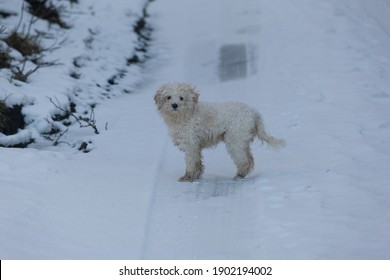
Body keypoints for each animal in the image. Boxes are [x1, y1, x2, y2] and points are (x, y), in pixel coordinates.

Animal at [154, 82, 284, 182]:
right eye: (168, 97)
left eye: (181, 98)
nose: (174, 105)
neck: (186, 115)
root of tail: (254, 113)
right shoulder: (196, 146)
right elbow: (198, 162)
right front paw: (197, 175)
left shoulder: (190, 144)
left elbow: (190, 162)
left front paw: (187, 177)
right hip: (241, 141)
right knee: (250, 159)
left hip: (234, 141)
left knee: (244, 161)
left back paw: (239, 176)